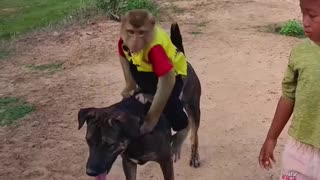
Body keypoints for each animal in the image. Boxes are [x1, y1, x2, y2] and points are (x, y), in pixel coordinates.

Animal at [77, 22, 201, 180]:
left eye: (110, 145)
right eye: (88, 141)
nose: (90, 172)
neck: (135, 137)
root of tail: (183, 57)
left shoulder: (165, 160)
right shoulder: (128, 162)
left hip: (193, 108)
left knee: (193, 131)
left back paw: (191, 152)